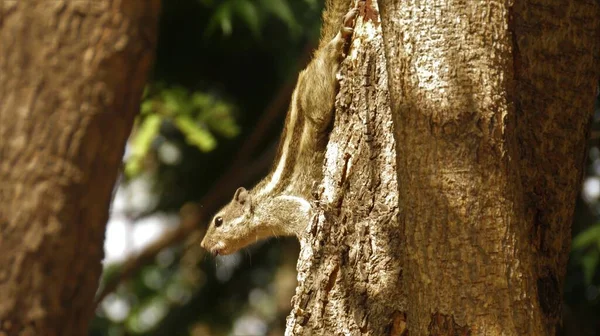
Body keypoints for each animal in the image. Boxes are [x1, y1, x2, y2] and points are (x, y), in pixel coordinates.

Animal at [202, 1, 360, 255]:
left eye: (218, 221)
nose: (203, 244)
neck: (260, 205)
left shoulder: (283, 208)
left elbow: (305, 217)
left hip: (317, 101)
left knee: (326, 63)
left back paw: (338, 39)